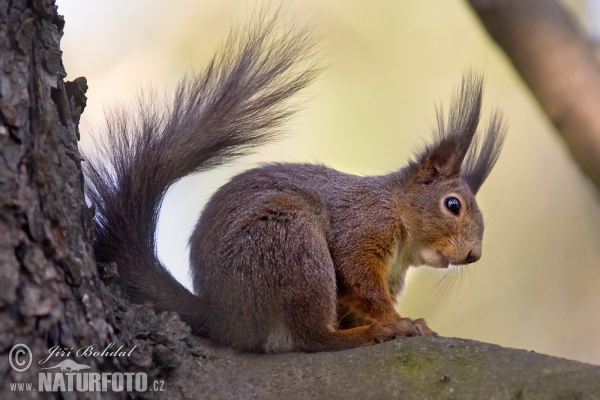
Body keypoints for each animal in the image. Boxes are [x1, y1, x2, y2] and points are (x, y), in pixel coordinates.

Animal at [83, 14, 506, 352]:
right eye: (453, 205)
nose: (474, 255)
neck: (396, 214)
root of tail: (225, 317)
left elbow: (359, 301)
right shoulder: (360, 230)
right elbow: (360, 282)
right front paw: (399, 322)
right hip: (293, 247)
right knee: (310, 336)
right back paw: (360, 336)